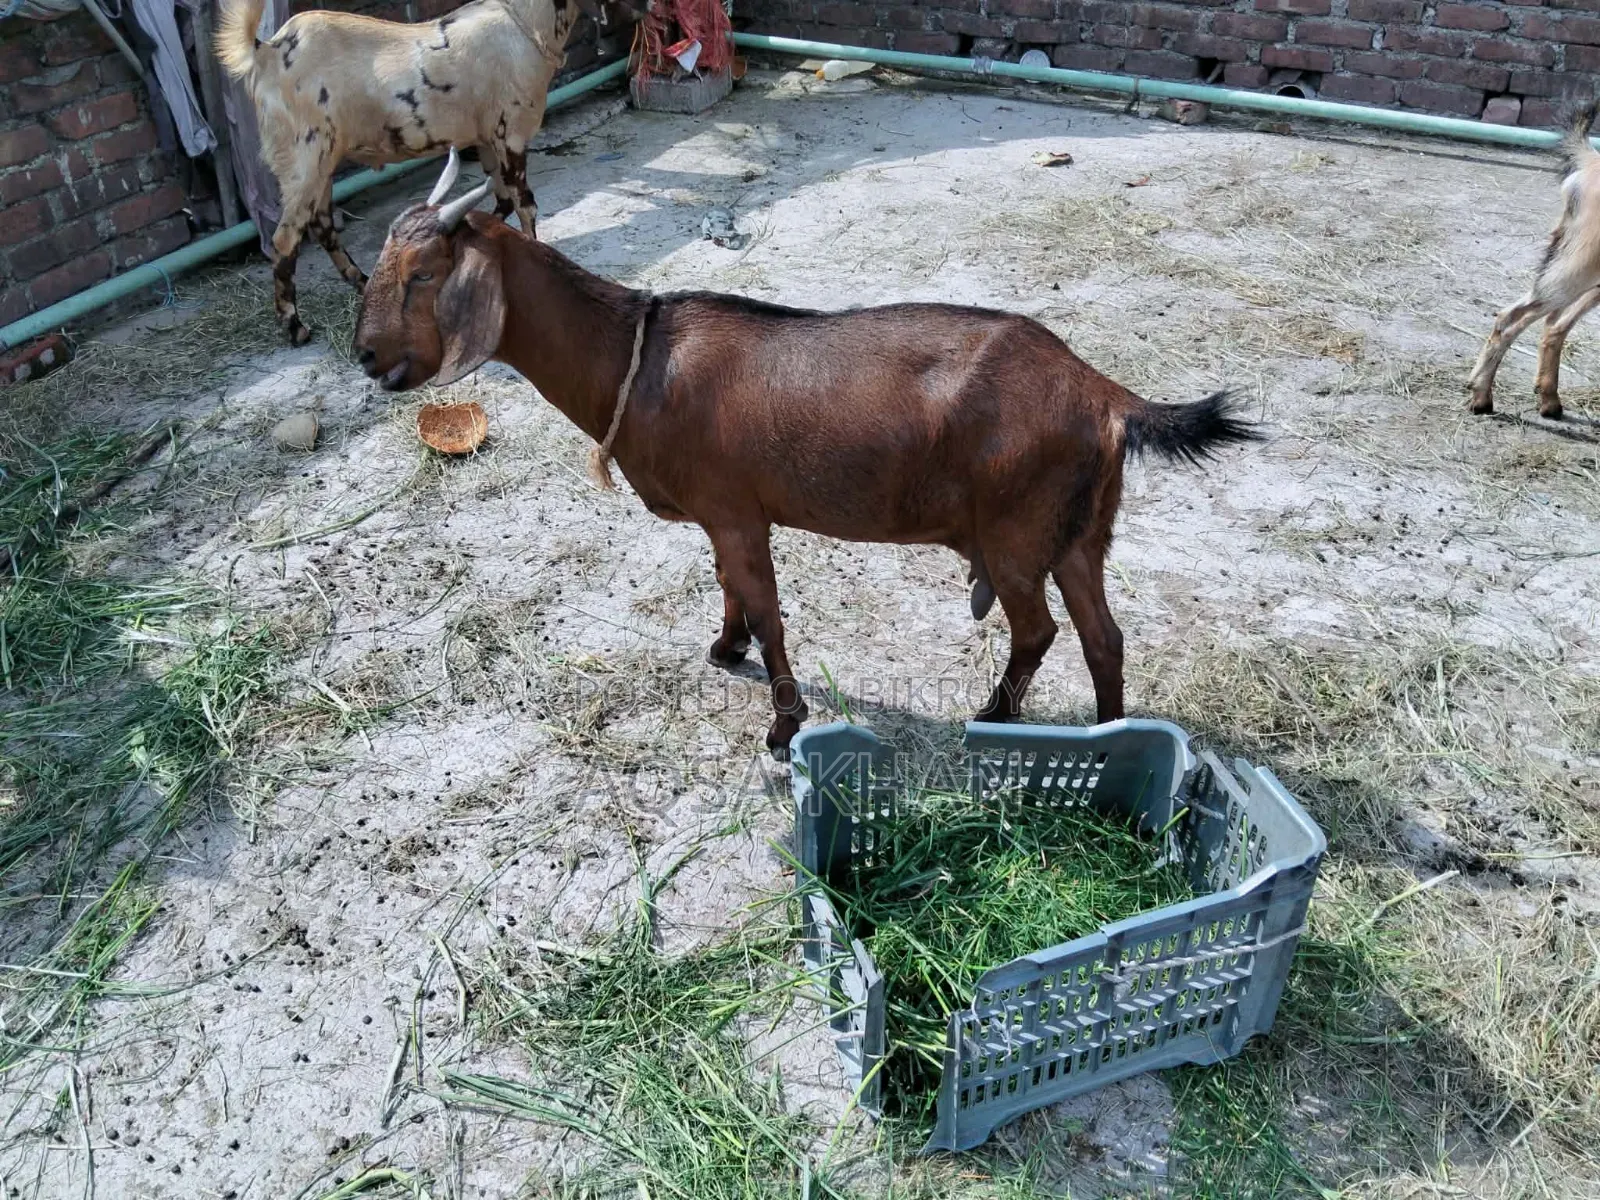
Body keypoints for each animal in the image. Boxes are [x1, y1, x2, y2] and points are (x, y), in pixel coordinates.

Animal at [216, 0, 598, 345]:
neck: (525, 23)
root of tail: (266, 51)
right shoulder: (511, 133)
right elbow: (524, 203)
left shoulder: (487, 138)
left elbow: (499, 202)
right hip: (305, 156)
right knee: (285, 239)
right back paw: (296, 328)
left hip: (322, 161)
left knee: (321, 225)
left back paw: (362, 282)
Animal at [352, 157, 1259, 758]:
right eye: (380, 265)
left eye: (424, 273)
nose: (365, 357)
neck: (634, 356)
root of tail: (1102, 390)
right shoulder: (725, 516)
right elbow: (728, 589)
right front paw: (724, 651)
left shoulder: (735, 512)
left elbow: (765, 608)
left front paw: (783, 725)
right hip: (1077, 533)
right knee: (1105, 637)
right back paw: (1113, 734)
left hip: (1013, 535)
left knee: (1036, 630)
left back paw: (995, 717)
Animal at [1467, 102, 1600, 421]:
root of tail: (1590, 161)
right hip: (1581, 264)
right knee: (1514, 317)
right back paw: (1482, 396)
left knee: (1553, 323)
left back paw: (1549, 400)